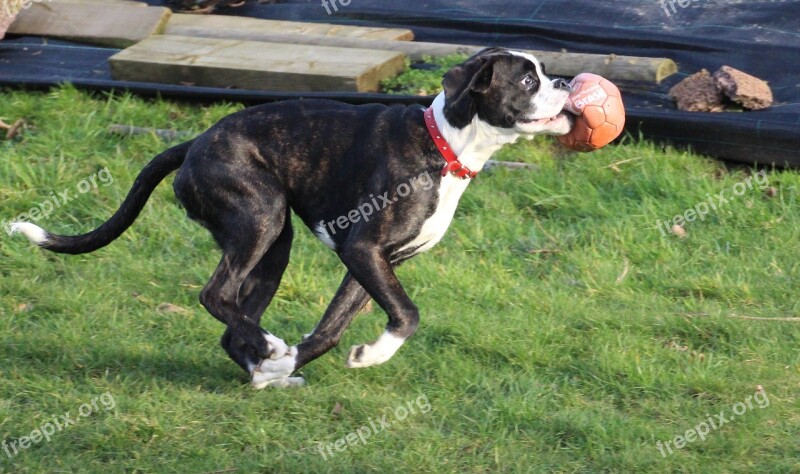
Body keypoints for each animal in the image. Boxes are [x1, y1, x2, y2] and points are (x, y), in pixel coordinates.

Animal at [12, 48, 576, 388]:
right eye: (529, 79)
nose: (567, 81)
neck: (445, 143)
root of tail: (194, 143)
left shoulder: (373, 264)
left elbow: (329, 331)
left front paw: (297, 364)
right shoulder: (364, 251)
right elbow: (408, 314)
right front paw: (370, 355)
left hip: (274, 247)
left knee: (231, 322)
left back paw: (266, 368)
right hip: (259, 220)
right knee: (214, 296)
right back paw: (266, 347)